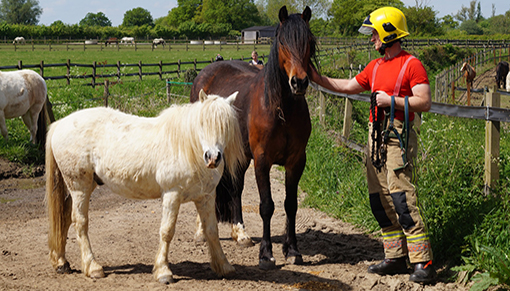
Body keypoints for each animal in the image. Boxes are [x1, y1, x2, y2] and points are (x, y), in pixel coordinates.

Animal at [44, 89, 244, 286]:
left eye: (226, 126)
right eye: (202, 124)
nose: (212, 158)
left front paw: (224, 266)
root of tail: (60, 124)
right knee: (80, 223)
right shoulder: (172, 195)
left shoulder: (206, 197)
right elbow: (167, 231)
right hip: (80, 188)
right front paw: (163, 272)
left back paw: (61, 263)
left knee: (64, 219)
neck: (187, 147)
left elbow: (211, 230)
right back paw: (93, 267)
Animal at [191, 5, 318, 272]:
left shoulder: (296, 161)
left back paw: (240, 233)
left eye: (309, 42)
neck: (281, 109)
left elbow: (290, 205)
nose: (299, 82)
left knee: (236, 188)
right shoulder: (262, 160)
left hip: (239, 156)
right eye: (282, 42)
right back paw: (200, 232)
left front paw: (292, 250)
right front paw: (266, 255)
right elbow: (267, 205)